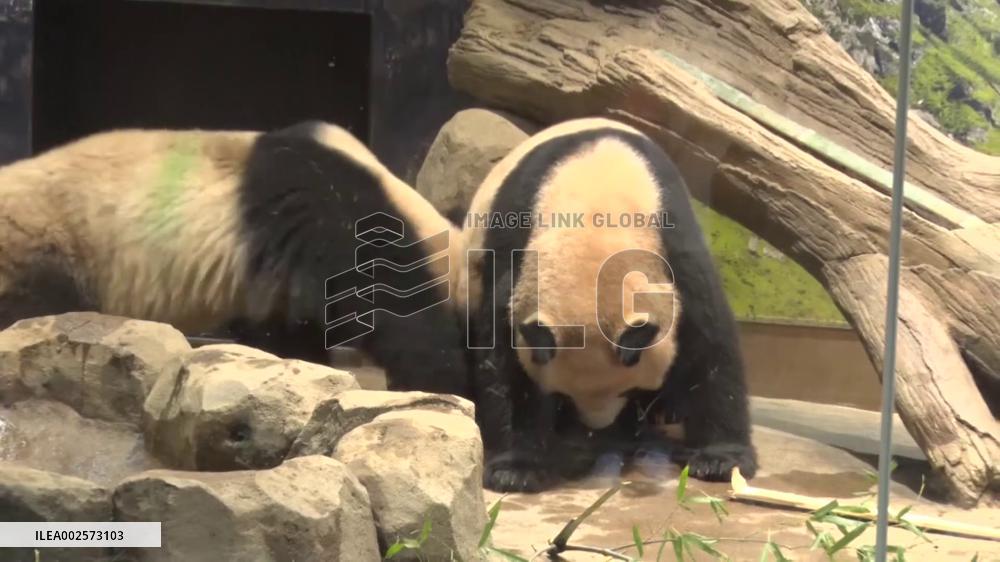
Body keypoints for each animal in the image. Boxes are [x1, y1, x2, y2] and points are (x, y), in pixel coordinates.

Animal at [460, 117, 757, 492]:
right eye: (564, 396)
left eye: (631, 389)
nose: (596, 428)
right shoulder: (513, 255)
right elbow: (505, 359)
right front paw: (516, 470)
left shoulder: (675, 245)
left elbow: (710, 344)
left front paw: (719, 460)